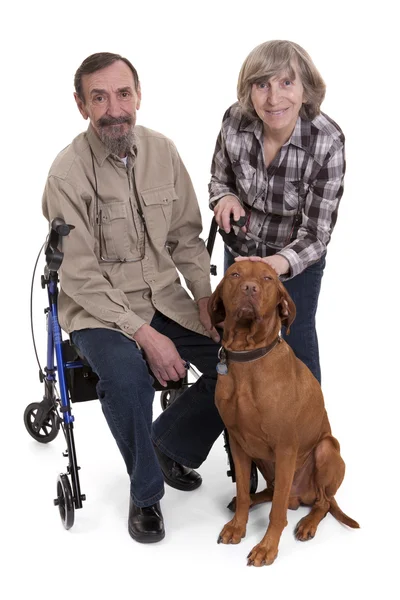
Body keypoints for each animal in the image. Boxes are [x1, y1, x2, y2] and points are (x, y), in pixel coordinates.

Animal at [208, 260, 358, 564]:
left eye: (267, 278)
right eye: (235, 274)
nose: (249, 288)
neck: (248, 357)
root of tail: (299, 498)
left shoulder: (286, 447)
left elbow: (276, 512)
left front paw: (267, 547)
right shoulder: (238, 443)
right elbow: (243, 490)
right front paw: (238, 527)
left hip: (325, 449)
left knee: (321, 502)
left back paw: (308, 523)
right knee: (271, 491)